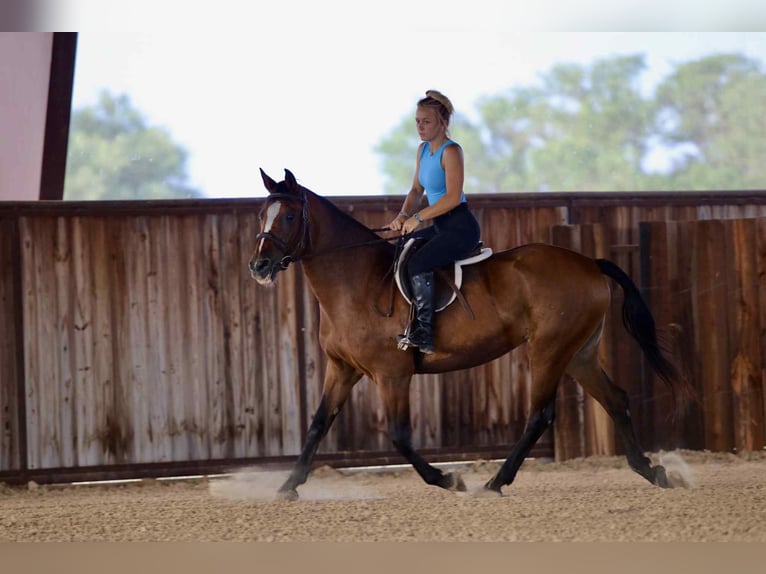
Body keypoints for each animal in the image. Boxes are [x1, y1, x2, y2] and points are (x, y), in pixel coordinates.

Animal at [249, 169, 696, 500]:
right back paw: (652, 471)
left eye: (288, 217)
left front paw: (448, 479)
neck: (356, 281)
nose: (259, 265)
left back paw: (495, 482)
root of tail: (589, 263)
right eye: (261, 216)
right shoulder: (342, 368)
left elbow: (398, 435)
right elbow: (318, 424)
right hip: (579, 353)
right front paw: (288, 486)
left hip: (549, 350)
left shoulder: (392, 374)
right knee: (615, 400)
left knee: (540, 414)